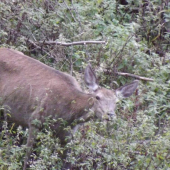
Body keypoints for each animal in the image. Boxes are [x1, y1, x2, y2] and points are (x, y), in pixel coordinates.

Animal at [0, 48, 138, 170]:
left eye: (116, 102)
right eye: (97, 97)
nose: (110, 115)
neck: (69, 114)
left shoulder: (68, 135)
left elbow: (67, 164)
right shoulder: (35, 120)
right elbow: (28, 160)